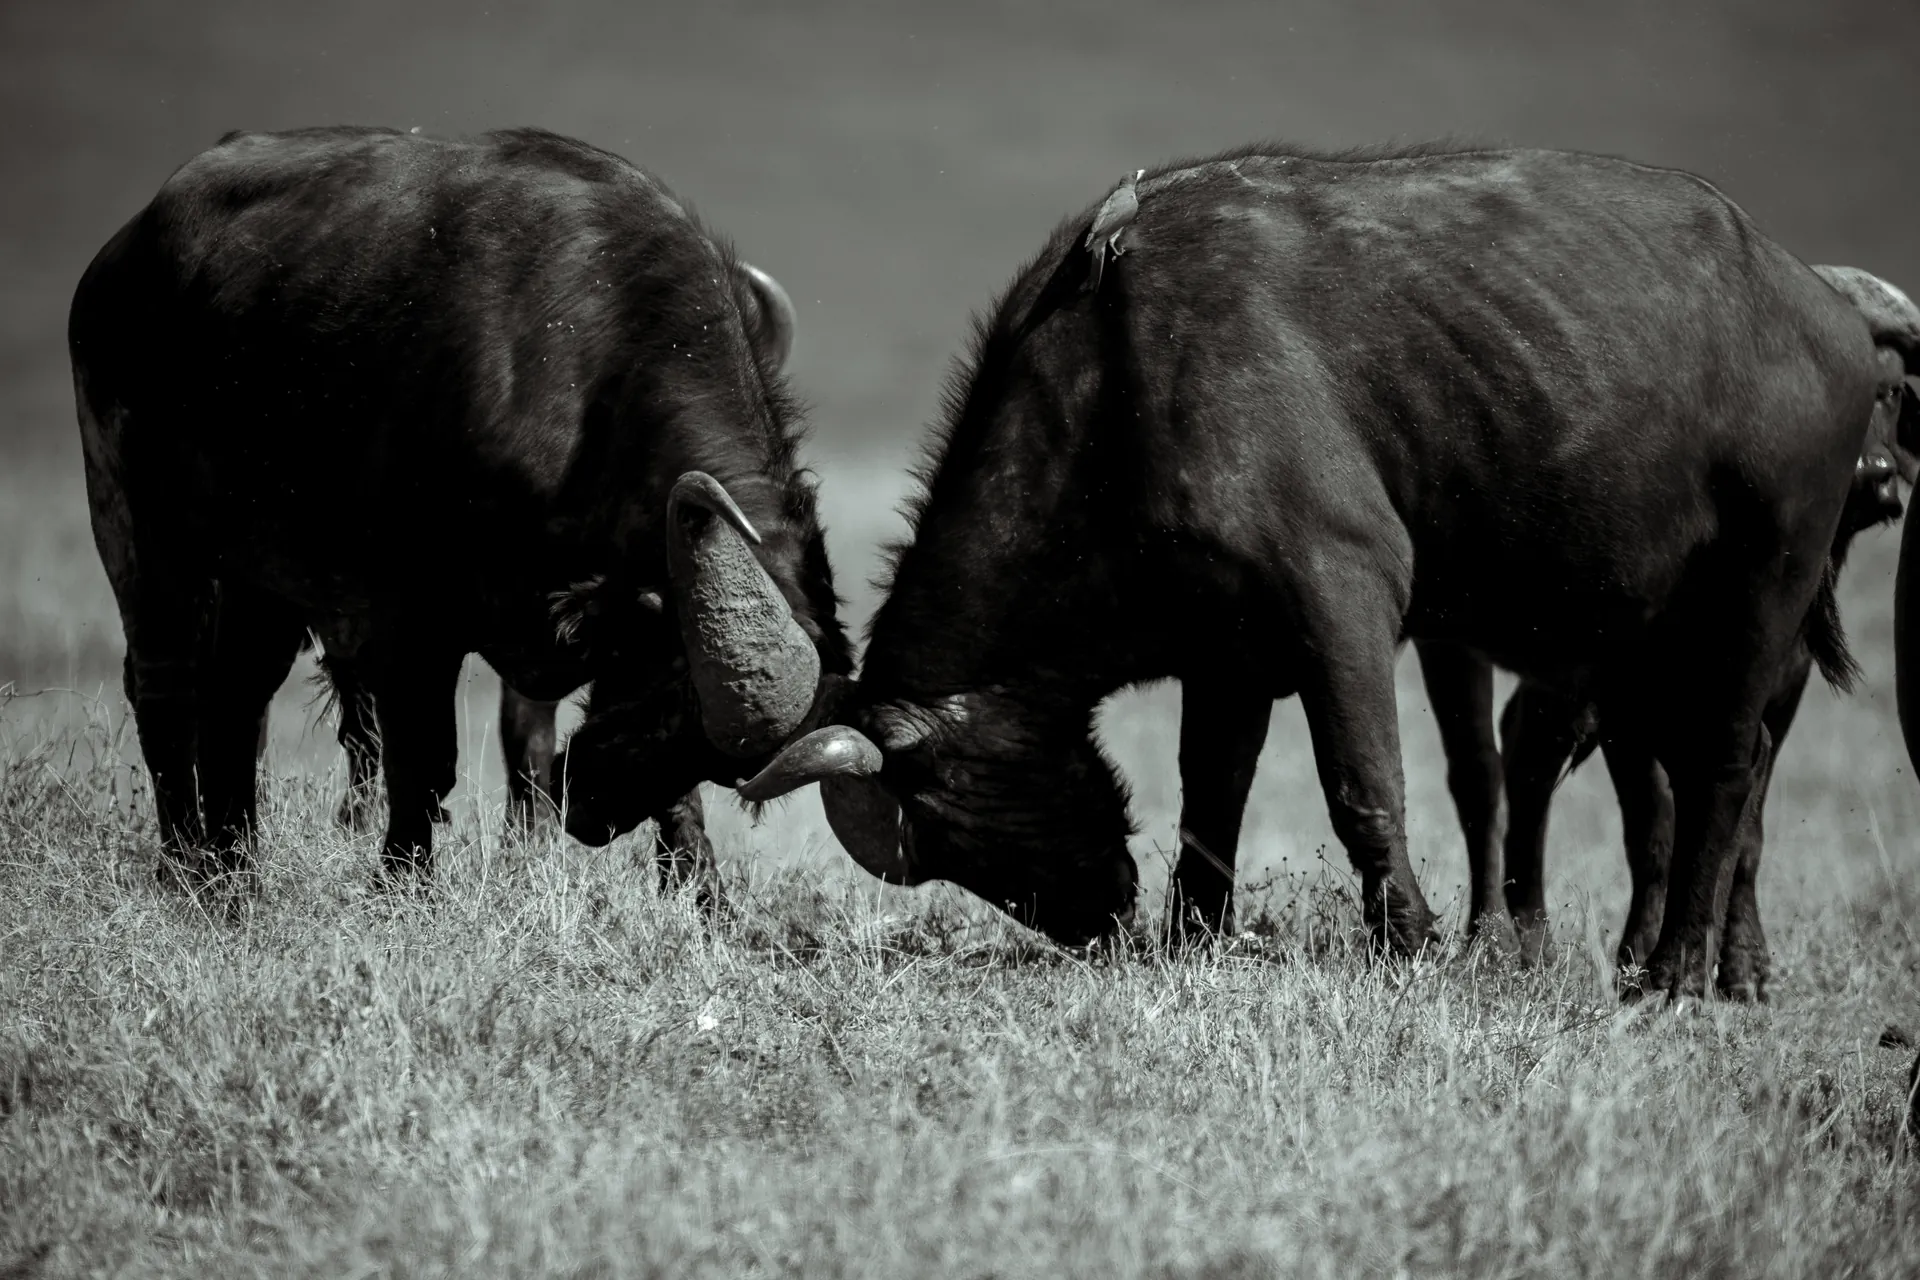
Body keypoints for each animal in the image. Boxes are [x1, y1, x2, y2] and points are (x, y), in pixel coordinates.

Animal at [71, 125, 850, 892]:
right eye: (666, 703)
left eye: (712, 755)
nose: (591, 815)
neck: (579, 384)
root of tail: (121, 256)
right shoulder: (401, 617)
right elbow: (421, 757)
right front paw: (404, 882)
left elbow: (550, 751)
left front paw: (701, 890)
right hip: (141, 531)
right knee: (167, 683)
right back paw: (183, 865)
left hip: (254, 577)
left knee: (237, 695)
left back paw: (231, 872)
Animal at [738, 142, 1905, 1000]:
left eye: (950, 814)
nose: (1092, 916)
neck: (1113, 388)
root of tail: (1822, 310)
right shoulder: (1227, 652)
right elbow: (1210, 795)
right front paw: (1198, 933)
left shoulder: (1343, 597)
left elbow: (1363, 785)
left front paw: (1412, 939)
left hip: (1763, 599)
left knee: (1722, 772)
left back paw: (1672, 975)